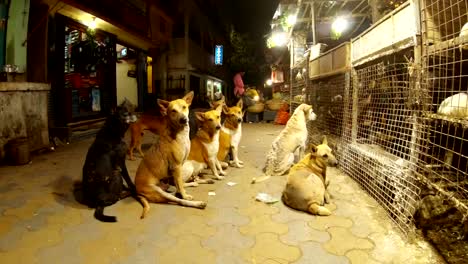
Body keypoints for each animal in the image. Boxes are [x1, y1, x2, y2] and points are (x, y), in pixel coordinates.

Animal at [132, 91, 205, 219]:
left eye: (184, 107)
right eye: (173, 111)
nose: (183, 119)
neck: (180, 134)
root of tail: (137, 191)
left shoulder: (179, 167)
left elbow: (179, 184)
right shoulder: (176, 166)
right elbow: (180, 185)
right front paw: (185, 194)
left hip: (165, 188)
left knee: (175, 192)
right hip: (158, 191)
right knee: (178, 200)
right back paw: (198, 203)